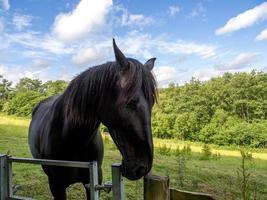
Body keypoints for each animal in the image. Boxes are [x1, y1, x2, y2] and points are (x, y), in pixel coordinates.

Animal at [27, 38, 157, 198]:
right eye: (131, 102)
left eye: (151, 104)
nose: (143, 167)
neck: (72, 141)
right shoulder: (56, 186)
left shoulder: (93, 182)